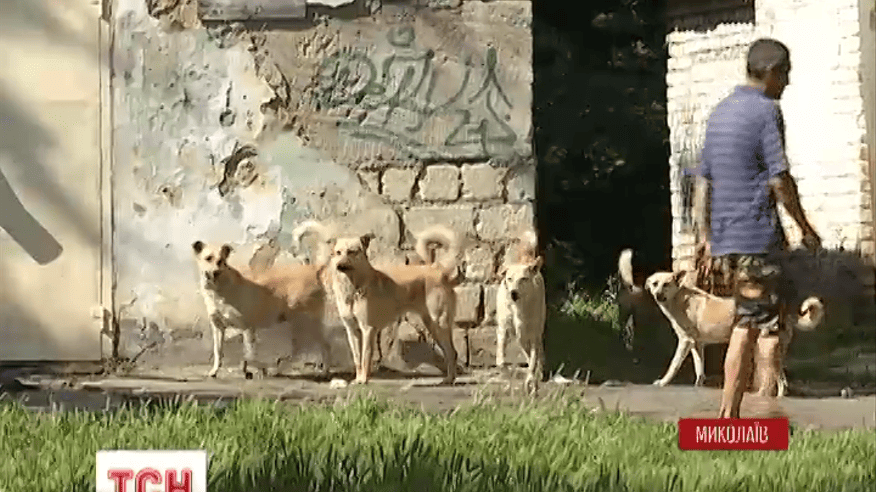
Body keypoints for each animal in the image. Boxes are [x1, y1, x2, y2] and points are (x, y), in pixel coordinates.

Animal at [192, 240, 331, 379]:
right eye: (208, 258)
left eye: (222, 261)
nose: (215, 272)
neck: (218, 288)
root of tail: (315, 270)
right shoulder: (218, 328)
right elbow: (218, 351)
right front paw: (215, 370)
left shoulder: (247, 327)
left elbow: (250, 355)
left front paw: (258, 368)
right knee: (302, 348)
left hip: (306, 321)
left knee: (323, 346)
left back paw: (321, 370)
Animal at [292, 221, 461, 385]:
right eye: (338, 252)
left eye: (352, 251)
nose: (339, 266)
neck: (353, 288)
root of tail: (439, 271)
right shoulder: (352, 331)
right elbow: (357, 358)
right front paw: (358, 379)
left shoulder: (368, 330)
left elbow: (365, 357)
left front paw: (364, 380)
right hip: (432, 326)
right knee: (449, 352)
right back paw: (449, 378)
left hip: (439, 324)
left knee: (452, 352)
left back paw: (449, 379)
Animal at [496, 230, 546, 395]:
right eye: (509, 279)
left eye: (523, 279)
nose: (513, 293)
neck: (518, 308)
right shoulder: (504, 329)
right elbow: (501, 360)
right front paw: (506, 372)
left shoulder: (532, 335)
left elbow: (532, 361)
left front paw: (531, 379)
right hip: (519, 335)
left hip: (535, 330)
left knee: (537, 353)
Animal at [619, 249, 824, 396]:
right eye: (654, 284)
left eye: (666, 284)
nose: (658, 295)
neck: (679, 298)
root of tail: (782, 309)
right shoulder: (697, 344)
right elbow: (699, 368)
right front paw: (698, 385)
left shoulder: (685, 342)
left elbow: (673, 365)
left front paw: (663, 382)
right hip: (773, 351)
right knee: (781, 378)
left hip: (763, 350)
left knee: (779, 380)